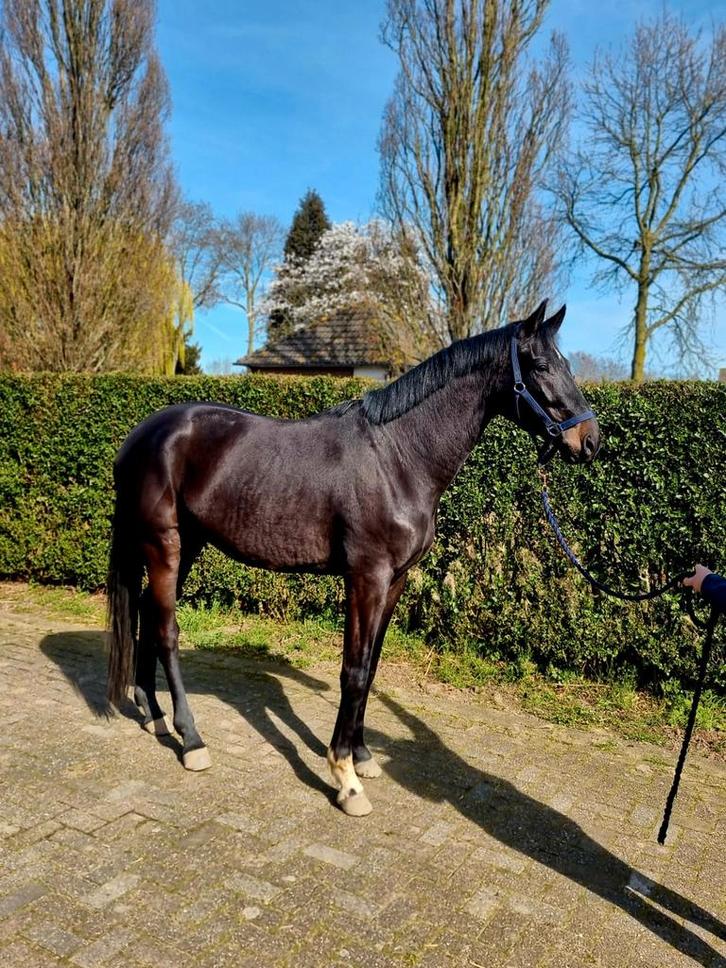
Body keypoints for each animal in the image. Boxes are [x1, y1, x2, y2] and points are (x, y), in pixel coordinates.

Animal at [107, 300, 600, 817]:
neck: (399, 457)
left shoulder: (395, 580)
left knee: (147, 613)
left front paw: (362, 757)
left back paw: (154, 715)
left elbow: (372, 664)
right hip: (164, 545)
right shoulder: (366, 578)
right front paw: (345, 777)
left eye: (566, 363)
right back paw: (192, 740)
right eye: (540, 366)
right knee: (166, 630)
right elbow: (355, 670)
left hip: (188, 546)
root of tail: (141, 436)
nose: (590, 441)